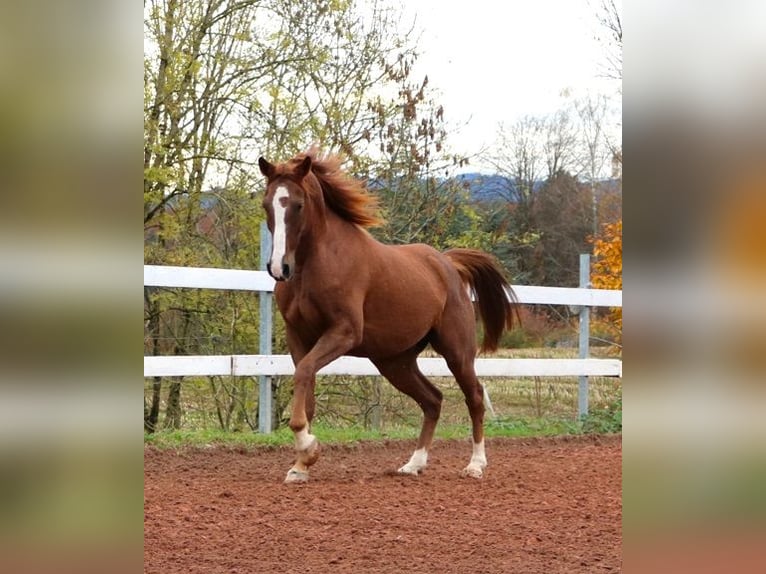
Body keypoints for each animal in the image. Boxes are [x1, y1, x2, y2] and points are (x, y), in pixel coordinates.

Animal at [257, 149, 518, 483]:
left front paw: (307, 447)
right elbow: (307, 387)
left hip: (457, 352)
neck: (316, 264)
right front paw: (301, 464)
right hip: (395, 361)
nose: (279, 268)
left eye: (298, 205)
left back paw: (475, 464)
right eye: (267, 204)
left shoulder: (343, 332)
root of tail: (447, 263)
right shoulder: (298, 336)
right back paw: (414, 464)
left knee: (474, 396)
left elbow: (303, 373)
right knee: (432, 400)